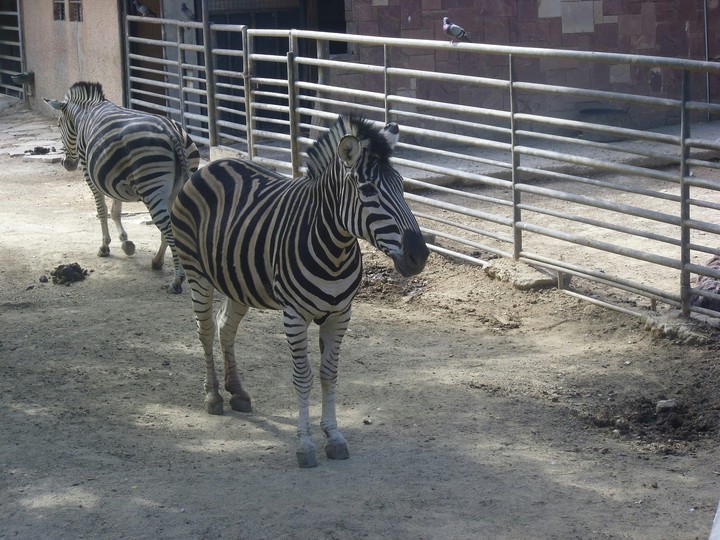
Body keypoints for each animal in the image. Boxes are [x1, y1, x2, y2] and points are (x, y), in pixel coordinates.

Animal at [44, 81, 200, 293]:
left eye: (59, 124)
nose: (66, 164)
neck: (86, 112)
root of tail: (171, 131)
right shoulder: (112, 175)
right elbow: (115, 210)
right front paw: (126, 242)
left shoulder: (90, 173)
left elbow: (102, 210)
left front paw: (105, 246)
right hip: (178, 184)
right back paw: (158, 261)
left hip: (151, 185)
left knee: (167, 226)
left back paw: (177, 280)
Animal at [170, 115, 429, 467]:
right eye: (367, 190)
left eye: (402, 186)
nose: (420, 255)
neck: (335, 250)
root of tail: (215, 163)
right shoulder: (294, 316)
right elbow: (303, 376)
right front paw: (305, 444)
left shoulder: (340, 314)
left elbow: (329, 374)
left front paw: (333, 436)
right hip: (198, 274)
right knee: (206, 331)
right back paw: (213, 395)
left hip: (239, 283)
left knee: (226, 329)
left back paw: (237, 391)